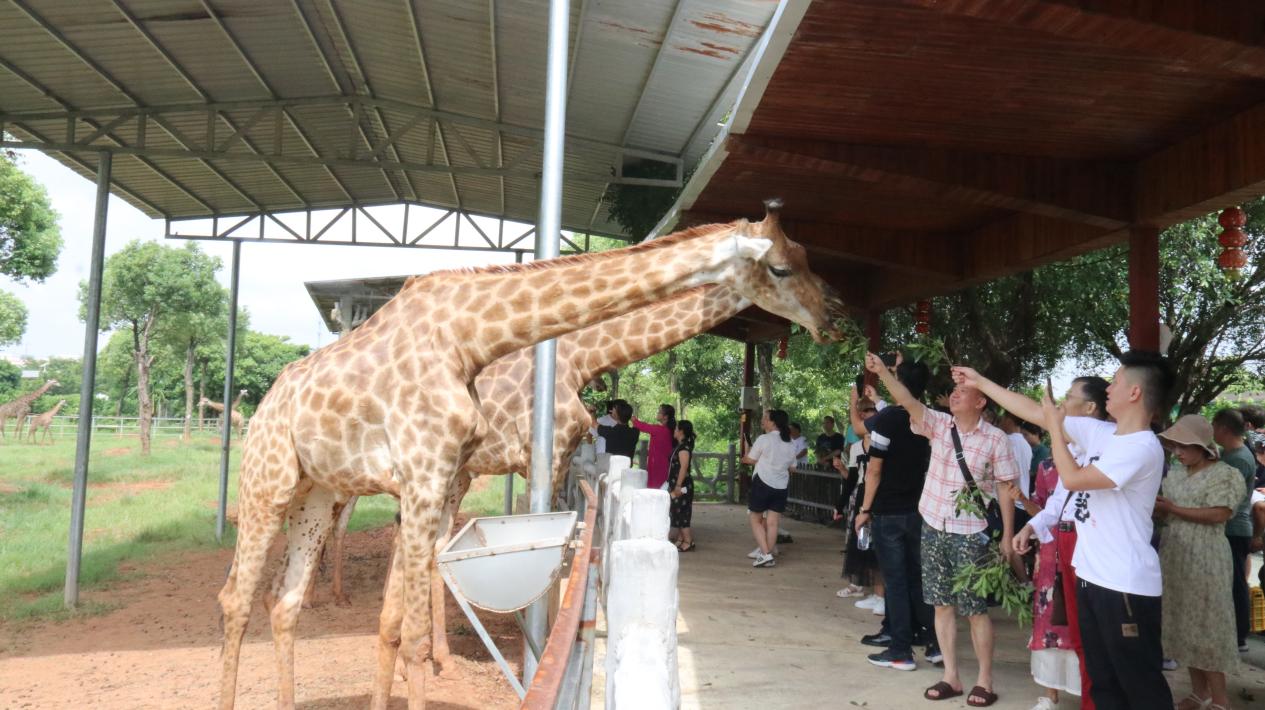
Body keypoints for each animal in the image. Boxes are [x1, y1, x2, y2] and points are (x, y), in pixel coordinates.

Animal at [216, 200, 842, 710]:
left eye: (808, 256)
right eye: (781, 268)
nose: (833, 315)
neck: (468, 338)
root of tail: (262, 407)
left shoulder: (447, 472)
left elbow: (398, 618)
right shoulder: (444, 470)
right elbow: (416, 631)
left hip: (318, 492)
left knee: (284, 601)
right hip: (269, 482)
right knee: (236, 599)